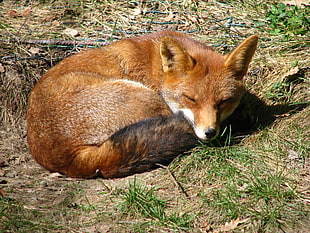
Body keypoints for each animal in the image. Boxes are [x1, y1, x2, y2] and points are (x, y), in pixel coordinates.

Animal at [26, 30, 258, 177]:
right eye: (191, 99)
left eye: (223, 101)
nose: (209, 132)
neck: (157, 69)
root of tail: (68, 159)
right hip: (145, 98)